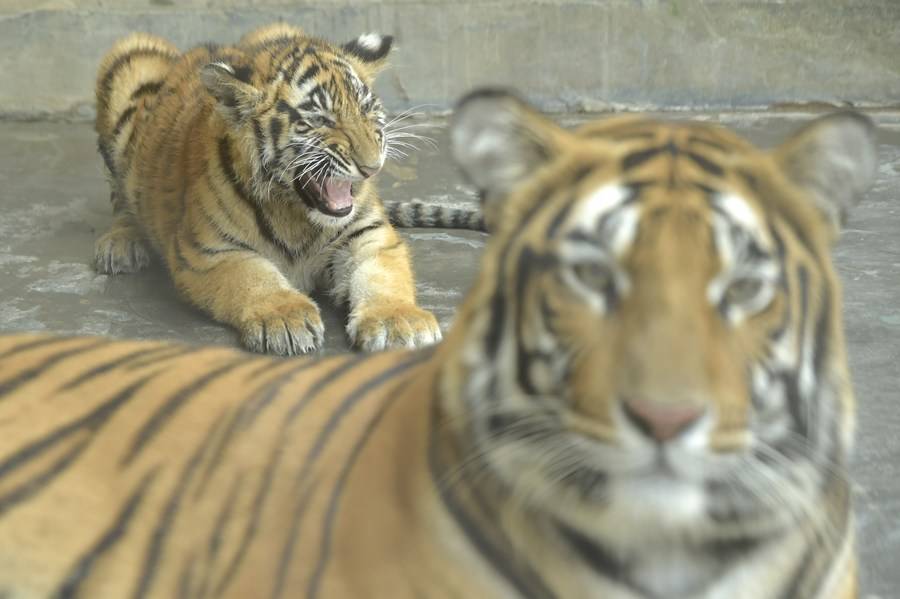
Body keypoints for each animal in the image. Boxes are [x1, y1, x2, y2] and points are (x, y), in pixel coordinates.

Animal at [93, 24, 442, 356]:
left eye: (366, 110)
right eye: (320, 119)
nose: (372, 167)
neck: (298, 214)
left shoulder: (369, 234)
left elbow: (382, 276)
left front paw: (399, 322)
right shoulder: (210, 251)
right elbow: (254, 278)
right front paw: (286, 318)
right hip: (131, 60)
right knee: (121, 197)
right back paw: (121, 244)